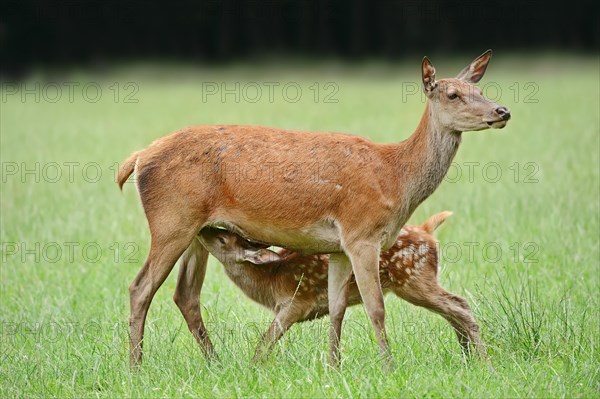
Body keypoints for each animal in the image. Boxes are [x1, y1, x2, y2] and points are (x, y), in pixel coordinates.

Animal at [197, 212, 488, 362]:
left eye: (223, 239)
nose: (203, 229)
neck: (271, 280)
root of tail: (427, 231)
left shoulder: (295, 302)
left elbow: (264, 341)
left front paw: (254, 367)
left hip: (413, 279)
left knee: (459, 305)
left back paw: (482, 361)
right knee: (452, 310)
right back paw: (468, 356)